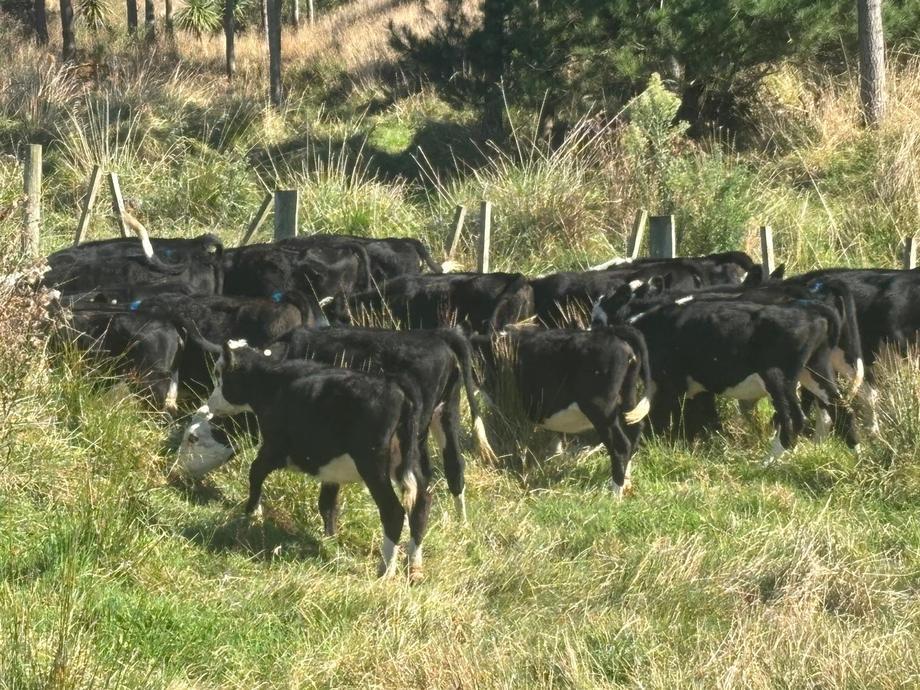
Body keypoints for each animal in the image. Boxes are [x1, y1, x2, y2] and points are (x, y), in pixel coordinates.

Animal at [177, 326, 496, 523]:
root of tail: (441, 335)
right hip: (447, 413)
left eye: (192, 438)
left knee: (423, 477)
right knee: (455, 468)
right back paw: (461, 524)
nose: (175, 473)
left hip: (416, 432)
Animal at [206, 340, 430, 581]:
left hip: (373, 465)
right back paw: (414, 568)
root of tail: (398, 391)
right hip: (409, 460)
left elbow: (255, 471)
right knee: (421, 505)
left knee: (394, 512)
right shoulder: (331, 470)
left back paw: (386, 571)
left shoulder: (275, 448)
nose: (210, 404)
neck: (272, 382)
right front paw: (330, 539)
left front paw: (252, 512)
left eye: (220, 375)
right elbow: (327, 504)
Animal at [470, 326, 651, 498]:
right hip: (627, 399)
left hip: (600, 409)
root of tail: (614, 334)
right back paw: (627, 484)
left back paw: (614, 495)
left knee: (621, 445)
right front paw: (555, 458)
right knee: (634, 432)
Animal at [592, 284, 849, 464]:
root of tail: (811, 307)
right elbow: (699, 417)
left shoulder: (672, 383)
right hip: (815, 370)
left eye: (597, 319)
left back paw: (767, 462)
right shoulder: (696, 388)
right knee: (838, 406)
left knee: (796, 418)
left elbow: (665, 418)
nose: (593, 327)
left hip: (779, 379)